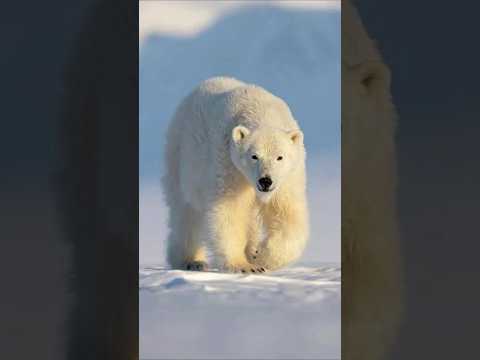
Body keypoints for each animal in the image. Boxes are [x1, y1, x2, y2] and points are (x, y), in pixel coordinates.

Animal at [163, 76, 310, 272]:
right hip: (182, 157)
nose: (265, 181)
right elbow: (230, 210)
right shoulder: (229, 164)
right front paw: (245, 265)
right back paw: (191, 261)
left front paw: (261, 256)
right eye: (254, 156)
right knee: (186, 211)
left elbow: (288, 214)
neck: (261, 110)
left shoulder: (288, 178)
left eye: (280, 157)